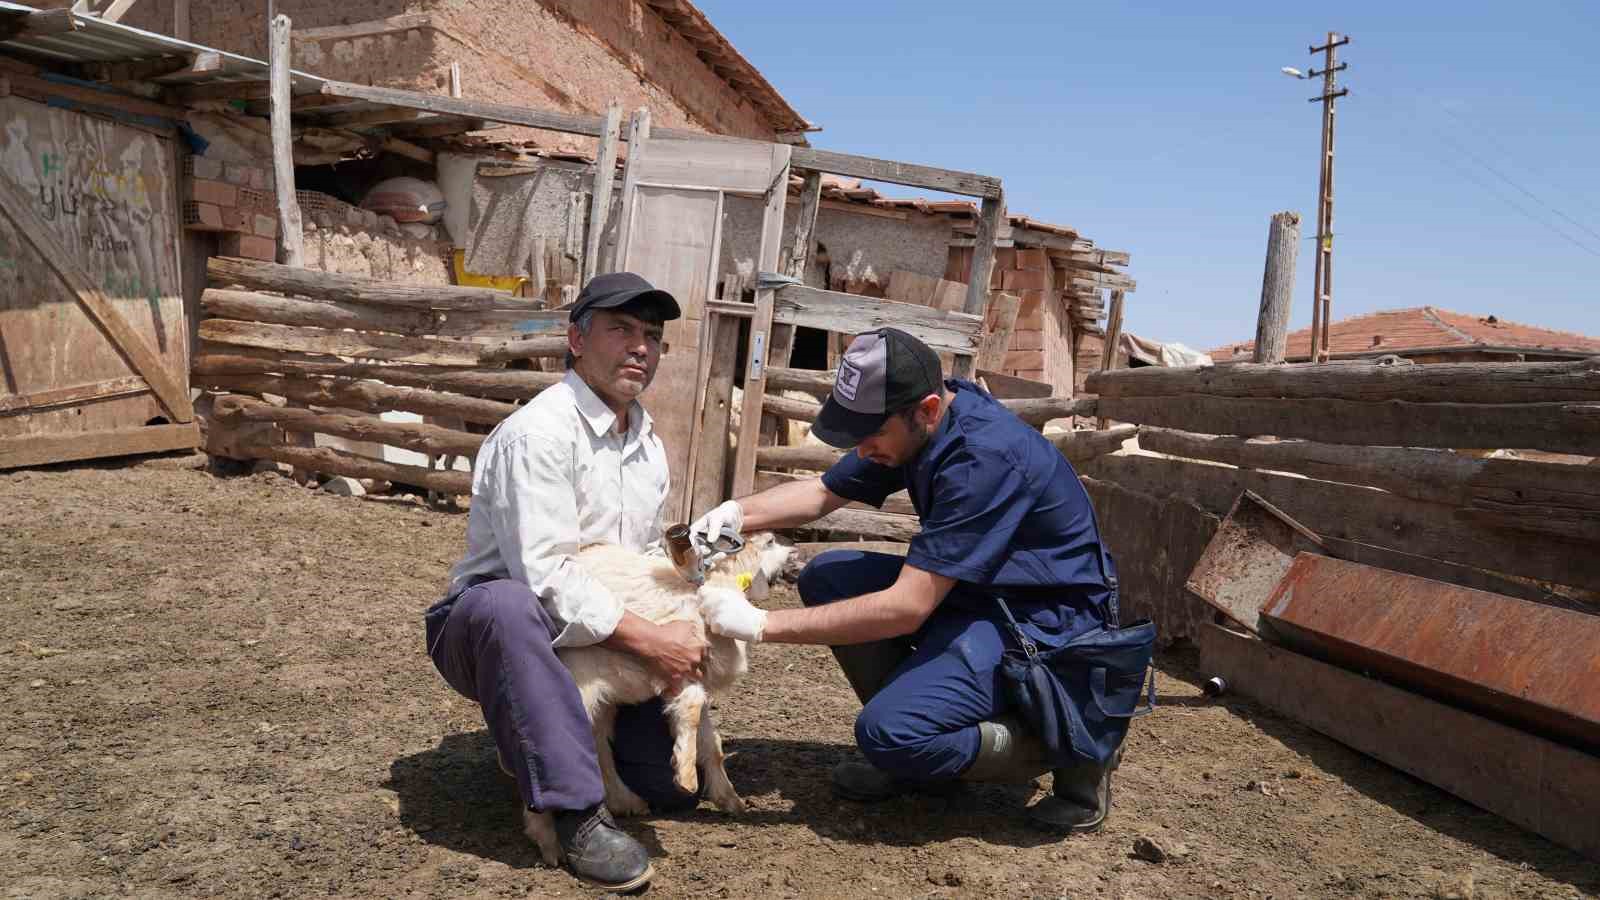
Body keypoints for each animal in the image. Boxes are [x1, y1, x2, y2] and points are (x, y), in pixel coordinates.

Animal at [524, 528, 793, 858]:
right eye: (771, 543)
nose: (794, 550)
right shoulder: (681, 667)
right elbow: (691, 714)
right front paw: (686, 777)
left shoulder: (697, 677)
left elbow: (711, 742)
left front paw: (729, 799)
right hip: (576, 683)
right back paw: (547, 839)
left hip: (599, 696)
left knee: (597, 743)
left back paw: (625, 800)